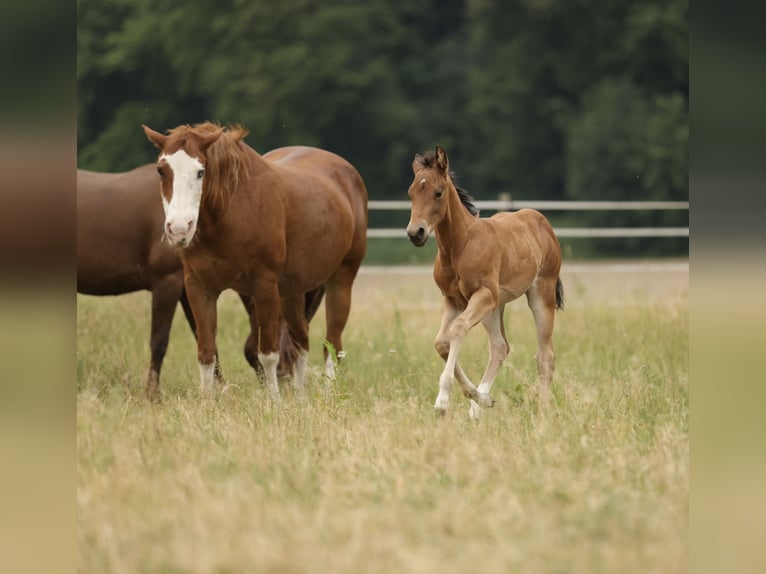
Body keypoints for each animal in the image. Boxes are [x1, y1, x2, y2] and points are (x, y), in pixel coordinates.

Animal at [77, 165, 325, 400]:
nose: (286, 381)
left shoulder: (189, 288)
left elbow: (205, 338)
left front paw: (221, 389)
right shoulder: (168, 282)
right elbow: (159, 342)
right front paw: (152, 395)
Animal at [141, 121, 368, 399]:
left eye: (200, 172)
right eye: (161, 170)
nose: (179, 229)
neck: (231, 212)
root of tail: (348, 175)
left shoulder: (264, 287)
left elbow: (268, 354)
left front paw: (274, 402)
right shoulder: (199, 287)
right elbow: (207, 353)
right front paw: (206, 402)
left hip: (340, 280)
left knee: (332, 345)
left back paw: (328, 395)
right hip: (292, 293)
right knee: (300, 341)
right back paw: (301, 398)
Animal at [405, 146, 564, 418]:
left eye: (438, 192)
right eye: (411, 193)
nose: (416, 233)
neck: (459, 246)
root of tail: (541, 221)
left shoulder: (483, 295)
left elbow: (457, 329)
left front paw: (442, 401)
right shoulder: (452, 299)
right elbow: (441, 342)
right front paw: (477, 397)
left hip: (540, 293)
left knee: (545, 356)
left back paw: (542, 409)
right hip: (496, 306)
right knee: (500, 347)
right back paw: (480, 405)